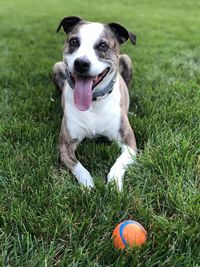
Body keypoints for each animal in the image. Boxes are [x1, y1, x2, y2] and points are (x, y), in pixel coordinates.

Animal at [53, 16, 138, 191]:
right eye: (74, 41)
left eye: (103, 46)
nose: (81, 63)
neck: (93, 102)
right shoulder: (65, 145)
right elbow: (77, 166)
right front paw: (88, 185)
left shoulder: (129, 144)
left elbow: (119, 163)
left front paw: (114, 183)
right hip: (56, 66)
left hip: (126, 58)